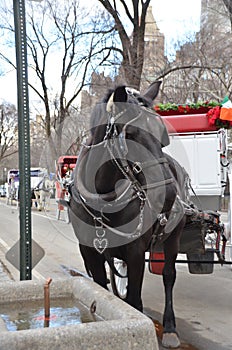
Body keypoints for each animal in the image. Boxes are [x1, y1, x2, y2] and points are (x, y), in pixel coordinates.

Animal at [68, 82, 188, 348]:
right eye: (130, 135)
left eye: (163, 136)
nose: (170, 195)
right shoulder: (88, 251)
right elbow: (101, 289)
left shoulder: (135, 251)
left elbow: (134, 300)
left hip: (174, 237)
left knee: (169, 276)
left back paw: (170, 328)